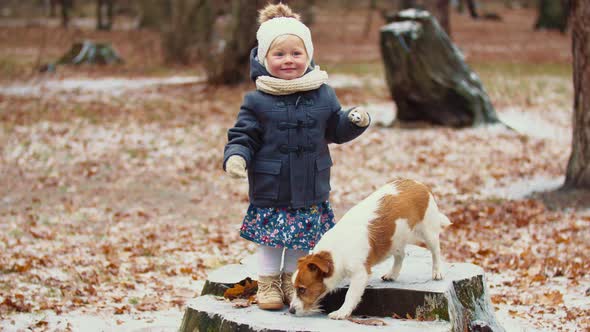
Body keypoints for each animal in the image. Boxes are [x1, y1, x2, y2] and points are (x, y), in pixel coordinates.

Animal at [292, 179, 454, 320]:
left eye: (302, 289)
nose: (291, 310)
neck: (334, 252)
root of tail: (420, 184)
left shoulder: (360, 274)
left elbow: (350, 295)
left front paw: (342, 312)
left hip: (429, 232)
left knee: (436, 251)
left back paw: (437, 271)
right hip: (395, 239)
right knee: (401, 255)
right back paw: (392, 274)